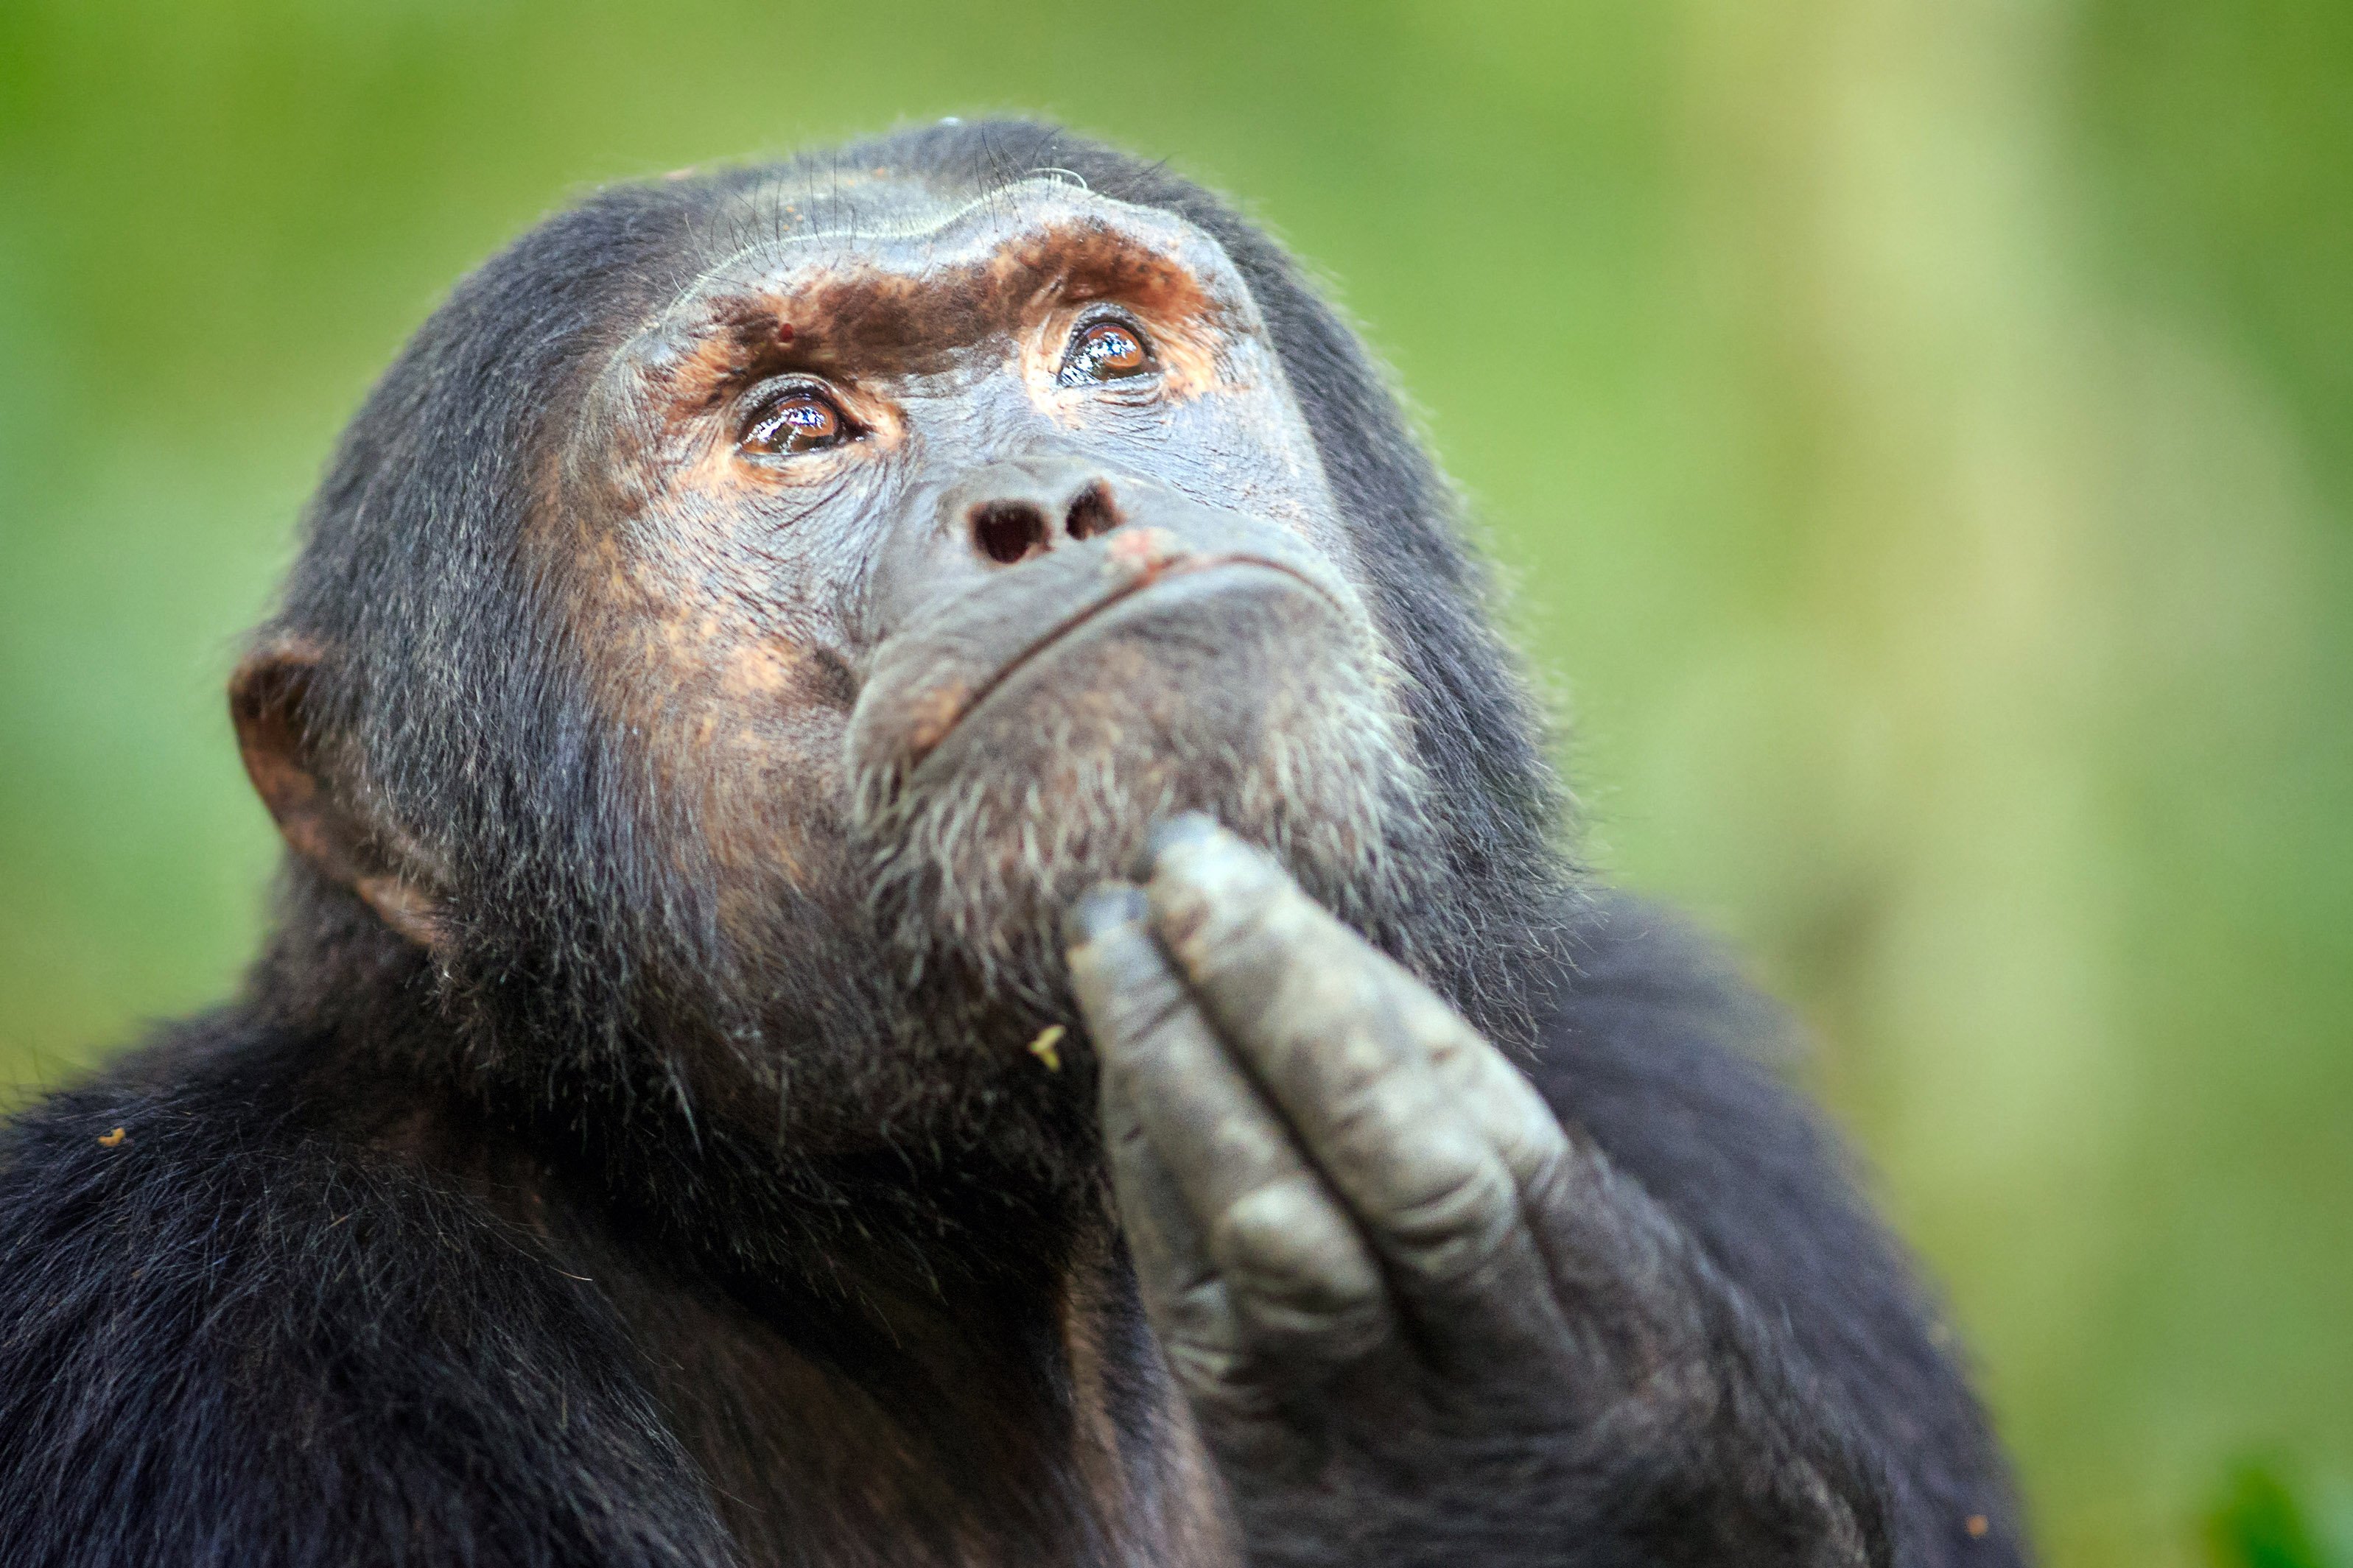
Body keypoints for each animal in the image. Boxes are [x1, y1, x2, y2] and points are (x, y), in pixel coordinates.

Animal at [0, 125, 2023, 1568]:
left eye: (1104, 349)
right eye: (794, 425)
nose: (1044, 499)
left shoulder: (1681, 1088)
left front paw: (1545, 1427)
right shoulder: (222, 1343)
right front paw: (1503, 1416)